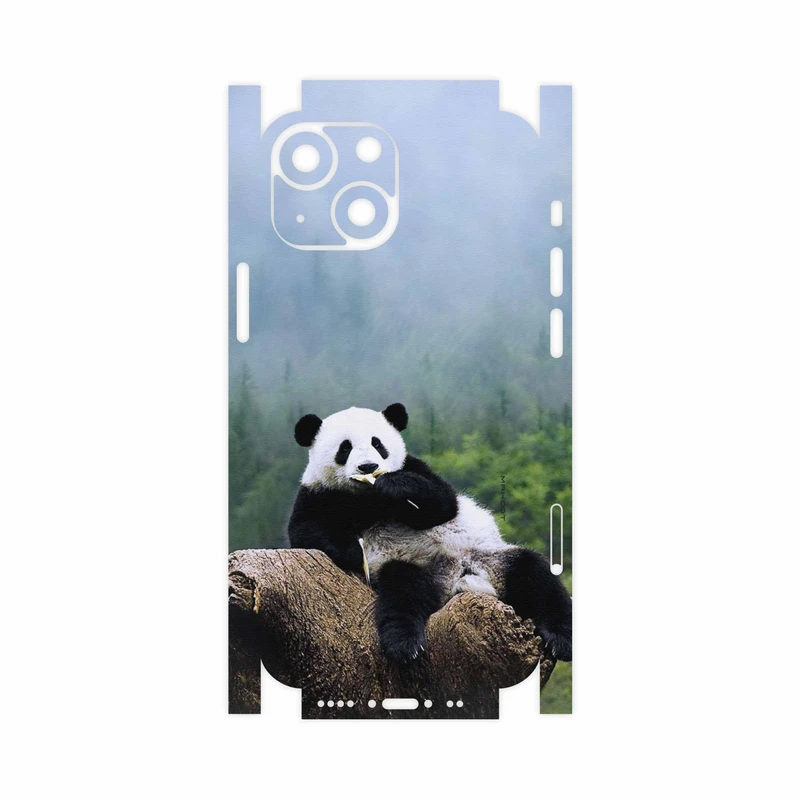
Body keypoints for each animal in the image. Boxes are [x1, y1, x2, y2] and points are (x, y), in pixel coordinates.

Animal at [288, 403, 572, 663]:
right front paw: (354, 551)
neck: (368, 498)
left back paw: (561, 640)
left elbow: (443, 503)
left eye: (377, 443)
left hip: (493, 559)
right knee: (403, 592)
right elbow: (306, 531)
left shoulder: (415, 467)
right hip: (418, 569)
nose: (368, 467)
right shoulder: (318, 494)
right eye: (345, 448)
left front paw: (394, 485)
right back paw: (405, 645)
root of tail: (461, 578)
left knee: (537, 576)